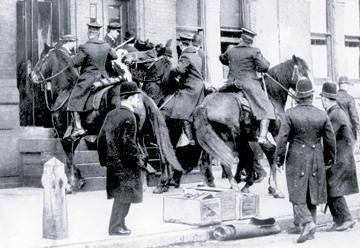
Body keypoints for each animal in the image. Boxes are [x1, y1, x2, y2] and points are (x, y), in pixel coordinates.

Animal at [28, 42, 183, 194]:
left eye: (42, 57)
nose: (32, 75)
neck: (64, 90)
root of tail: (140, 94)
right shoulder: (73, 138)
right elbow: (72, 156)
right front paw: (79, 180)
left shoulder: (63, 135)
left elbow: (69, 159)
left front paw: (70, 186)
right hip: (139, 134)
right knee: (144, 156)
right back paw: (145, 185)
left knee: (139, 155)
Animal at [194, 54, 310, 196]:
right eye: (303, 73)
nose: (309, 91)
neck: (271, 95)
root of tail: (205, 106)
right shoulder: (276, 133)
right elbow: (272, 155)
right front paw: (274, 188)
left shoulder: (246, 138)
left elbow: (248, 158)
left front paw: (251, 182)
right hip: (227, 139)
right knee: (225, 161)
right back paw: (234, 186)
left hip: (214, 140)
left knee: (210, 159)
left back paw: (215, 183)